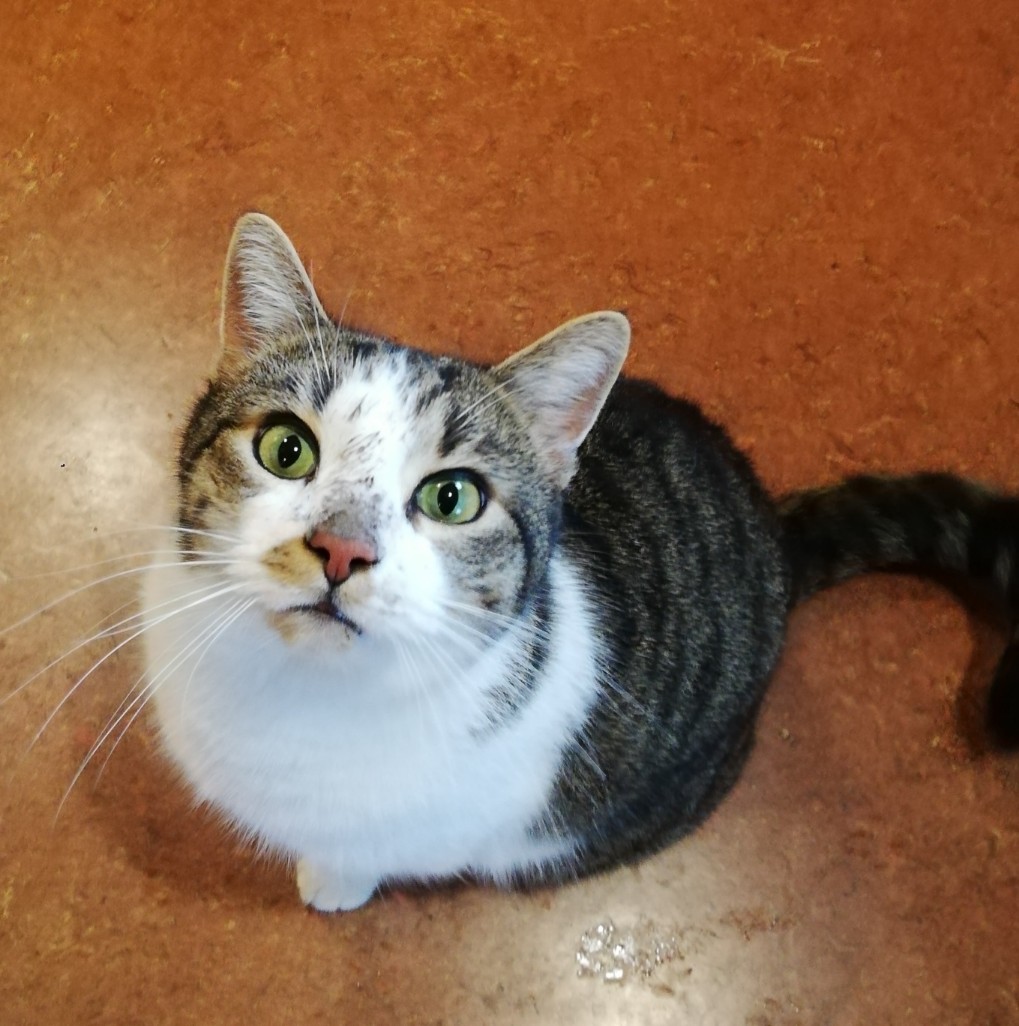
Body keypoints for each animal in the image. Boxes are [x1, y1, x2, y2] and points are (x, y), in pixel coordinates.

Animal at [142, 213, 1019, 912]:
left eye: (452, 498)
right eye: (285, 450)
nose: (343, 547)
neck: (303, 696)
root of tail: (771, 530)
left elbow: (368, 852)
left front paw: (334, 882)